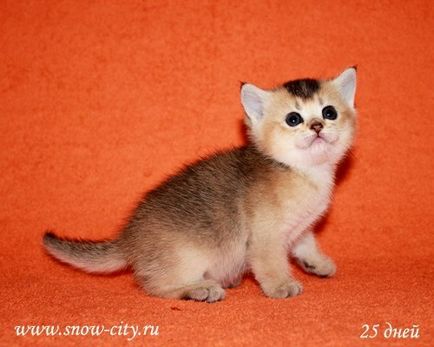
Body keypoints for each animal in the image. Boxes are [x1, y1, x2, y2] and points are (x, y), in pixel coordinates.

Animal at [42, 67, 358, 302]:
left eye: (329, 112)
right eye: (293, 119)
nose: (317, 126)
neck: (302, 171)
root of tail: (128, 239)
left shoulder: (300, 227)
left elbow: (305, 243)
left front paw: (316, 263)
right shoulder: (264, 237)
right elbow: (271, 262)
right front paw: (281, 285)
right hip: (186, 257)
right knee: (154, 287)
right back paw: (199, 289)